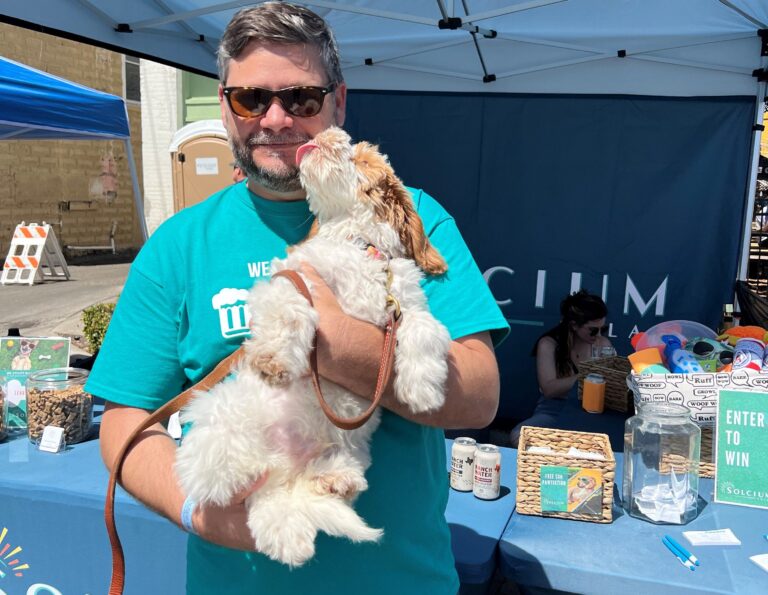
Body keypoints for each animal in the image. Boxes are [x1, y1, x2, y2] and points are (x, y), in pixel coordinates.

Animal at [174, 127, 450, 568]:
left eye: (363, 160)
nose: (327, 133)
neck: (359, 246)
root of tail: (281, 464)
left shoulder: (404, 306)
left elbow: (424, 329)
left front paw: (422, 390)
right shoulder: (295, 278)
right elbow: (291, 309)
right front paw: (272, 361)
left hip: (350, 449)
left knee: (287, 497)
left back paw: (328, 489)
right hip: (220, 427)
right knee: (247, 490)